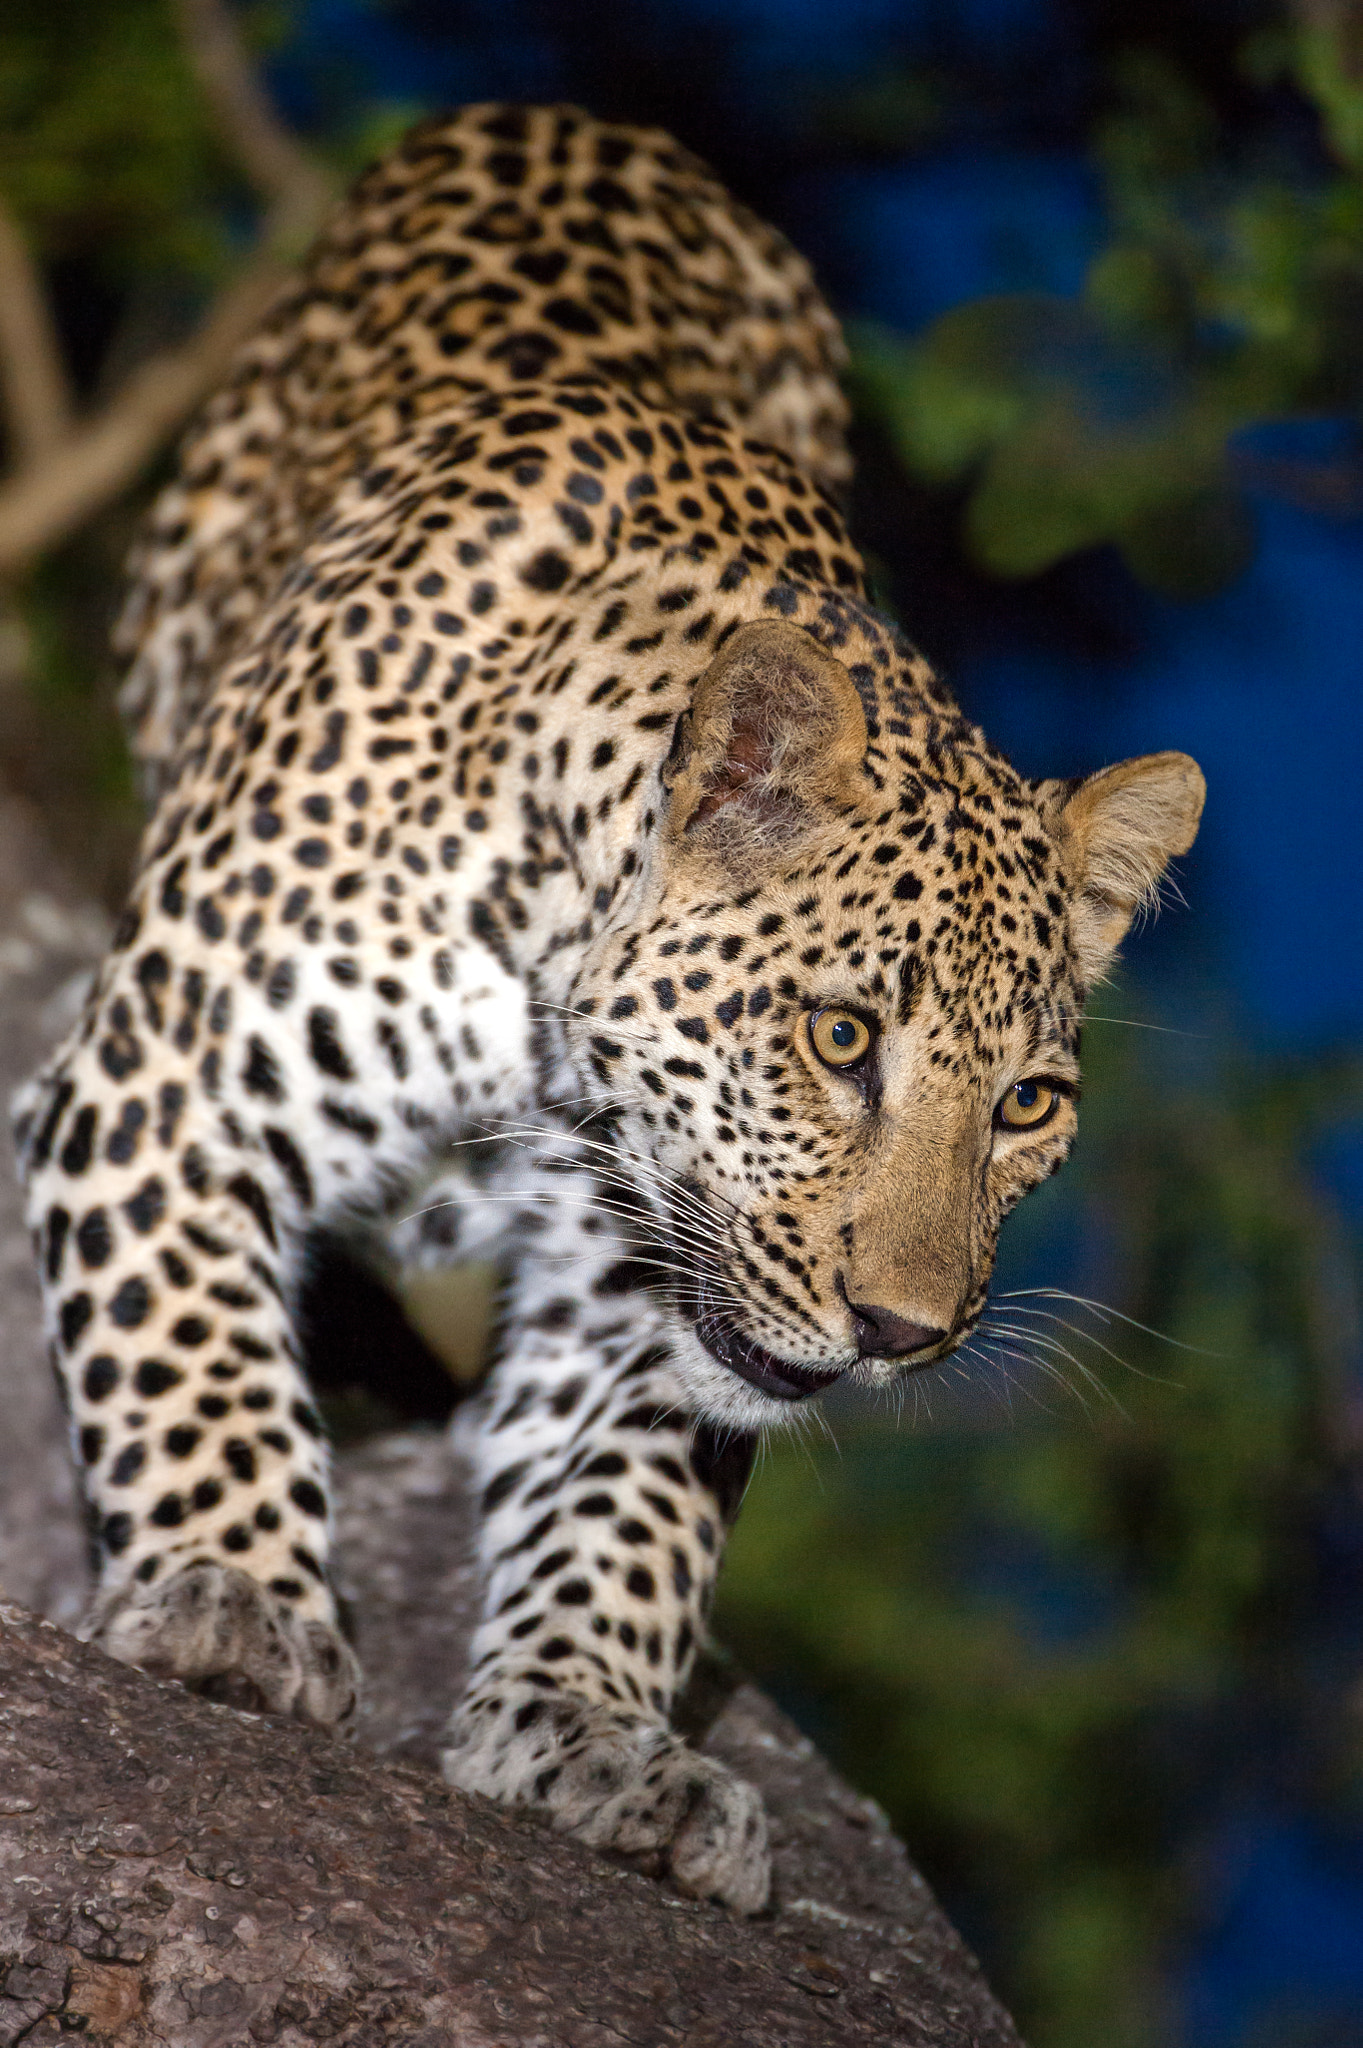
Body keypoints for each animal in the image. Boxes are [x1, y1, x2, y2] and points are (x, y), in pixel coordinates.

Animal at [15, 102, 1205, 1916]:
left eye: (1025, 1106)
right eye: (839, 1037)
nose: (906, 1332)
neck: (547, 1011)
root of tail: (584, 119)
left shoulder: (656, 1276)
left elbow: (634, 1503)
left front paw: (591, 1728)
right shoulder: (163, 1078)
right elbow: (189, 1346)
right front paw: (235, 1592)